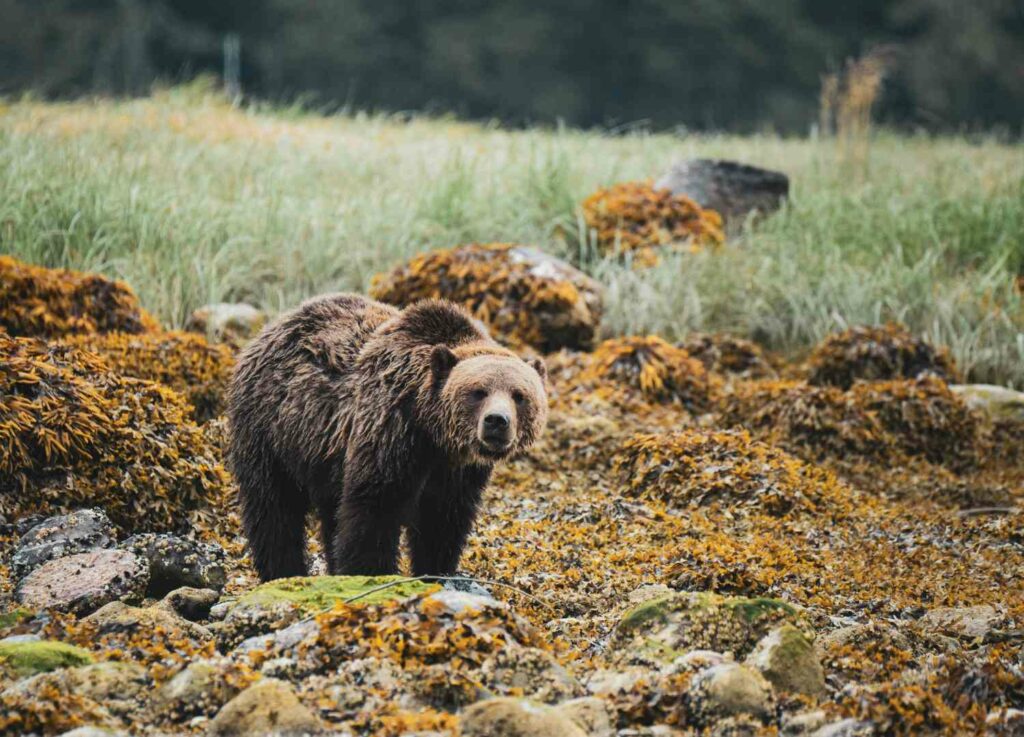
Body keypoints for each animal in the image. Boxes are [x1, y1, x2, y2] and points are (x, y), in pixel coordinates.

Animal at [227, 293, 548, 581]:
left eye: (519, 395)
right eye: (478, 391)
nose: (496, 421)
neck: (435, 435)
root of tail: (266, 331)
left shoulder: (457, 474)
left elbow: (442, 522)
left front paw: (436, 570)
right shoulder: (390, 430)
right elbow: (374, 508)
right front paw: (370, 572)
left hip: (322, 455)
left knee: (329, 511)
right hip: (272, 431)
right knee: (273, 508)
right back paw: (283, 572)